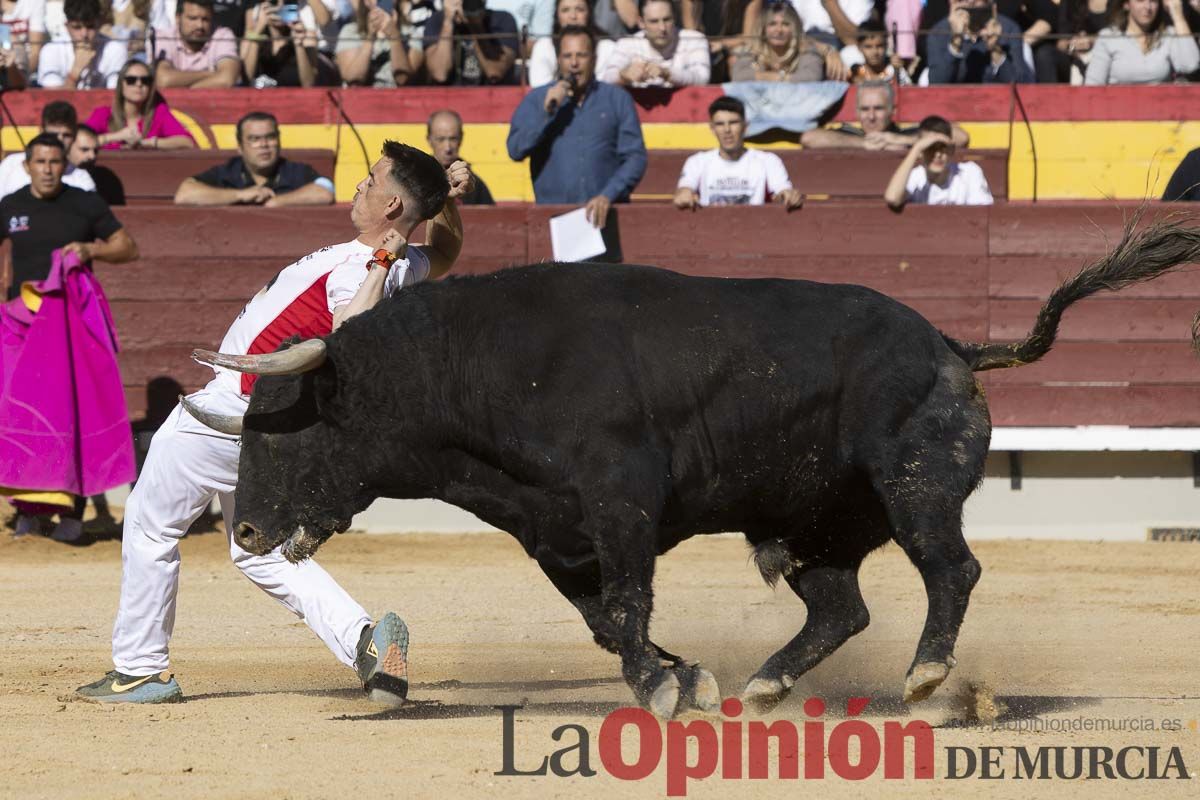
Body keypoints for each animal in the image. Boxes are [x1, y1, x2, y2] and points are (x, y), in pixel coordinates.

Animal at [187, 219, 1200, 719]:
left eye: (283, 433)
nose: (247, 528)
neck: (470, 372)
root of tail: (951, 344)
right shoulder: (555, 533)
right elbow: (607, 620)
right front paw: (686, 679)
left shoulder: (620, 501)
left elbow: (629, 603)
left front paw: (662, 687)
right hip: (809, 525)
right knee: (841, 607)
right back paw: (764, 687)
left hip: (916, 486)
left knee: (951, 568)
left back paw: (922, 681)